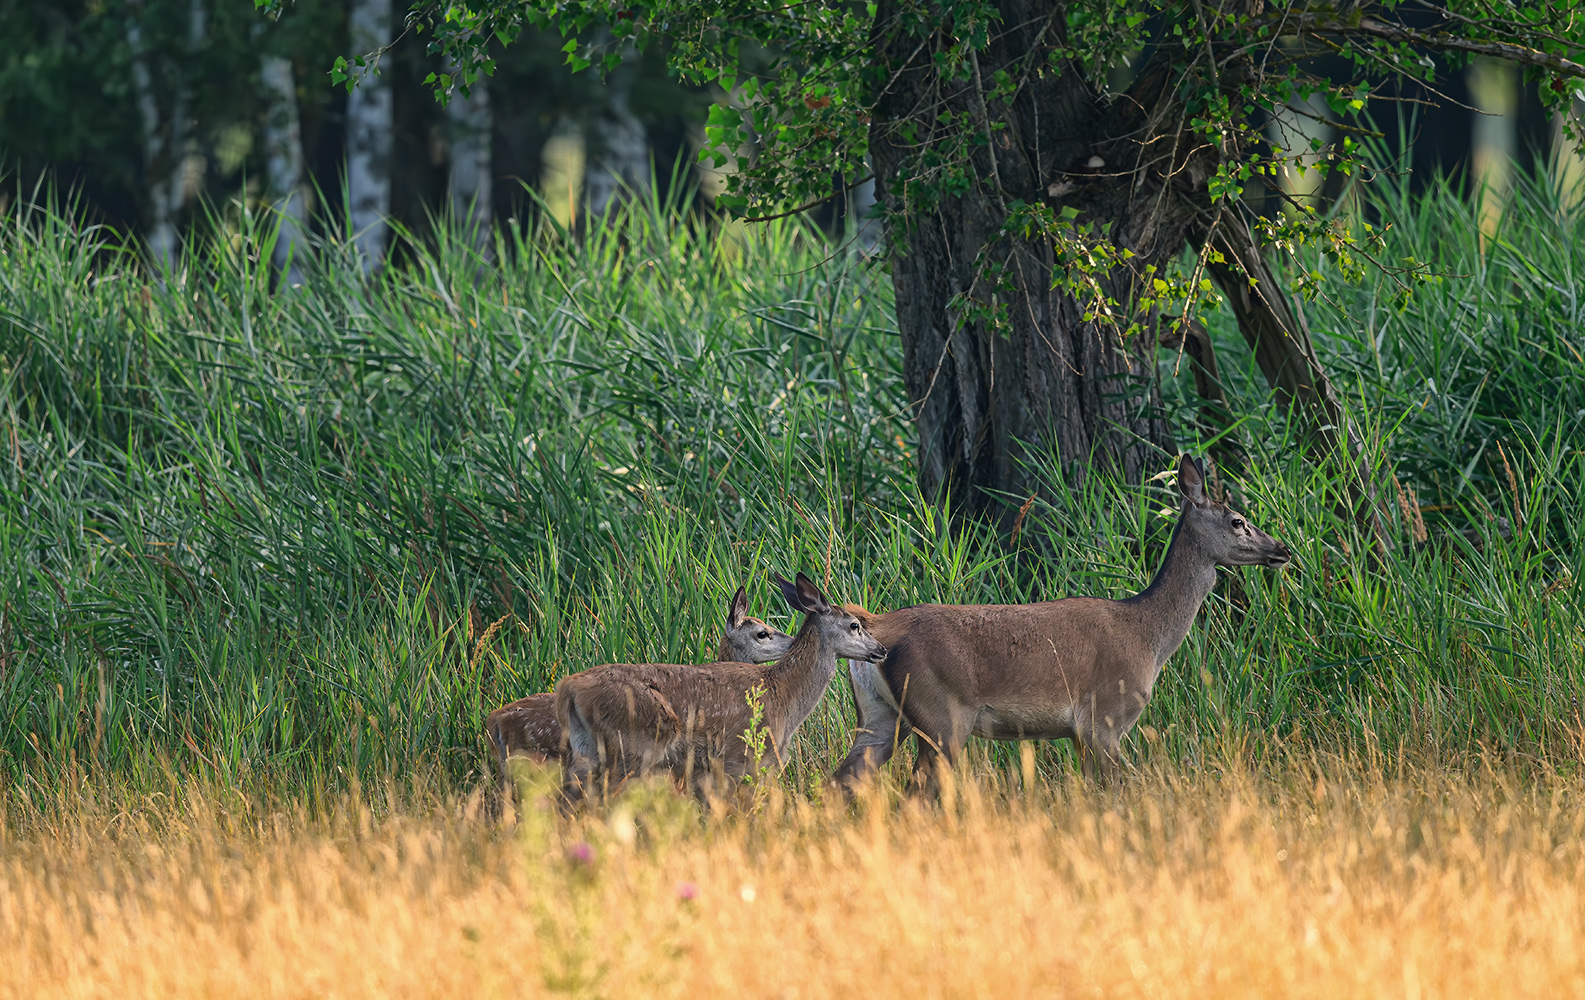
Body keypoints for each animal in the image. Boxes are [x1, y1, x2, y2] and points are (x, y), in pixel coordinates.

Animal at [557, 573, 887, 801]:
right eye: (855, 625)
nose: (881, 650)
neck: (784, 696)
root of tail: (568, 689)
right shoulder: (739, 759)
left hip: (585, 751)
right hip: (631, 750)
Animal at [830, 456, 1287, 795]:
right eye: (1238, 521)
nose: (1282, 549)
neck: (1148, 635)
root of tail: (875, 623)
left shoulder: (1079, 734)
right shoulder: (1103, 718)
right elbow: (1121, 793)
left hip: (879, 715)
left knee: (841, 782)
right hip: (942, 715)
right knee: (915, 795)